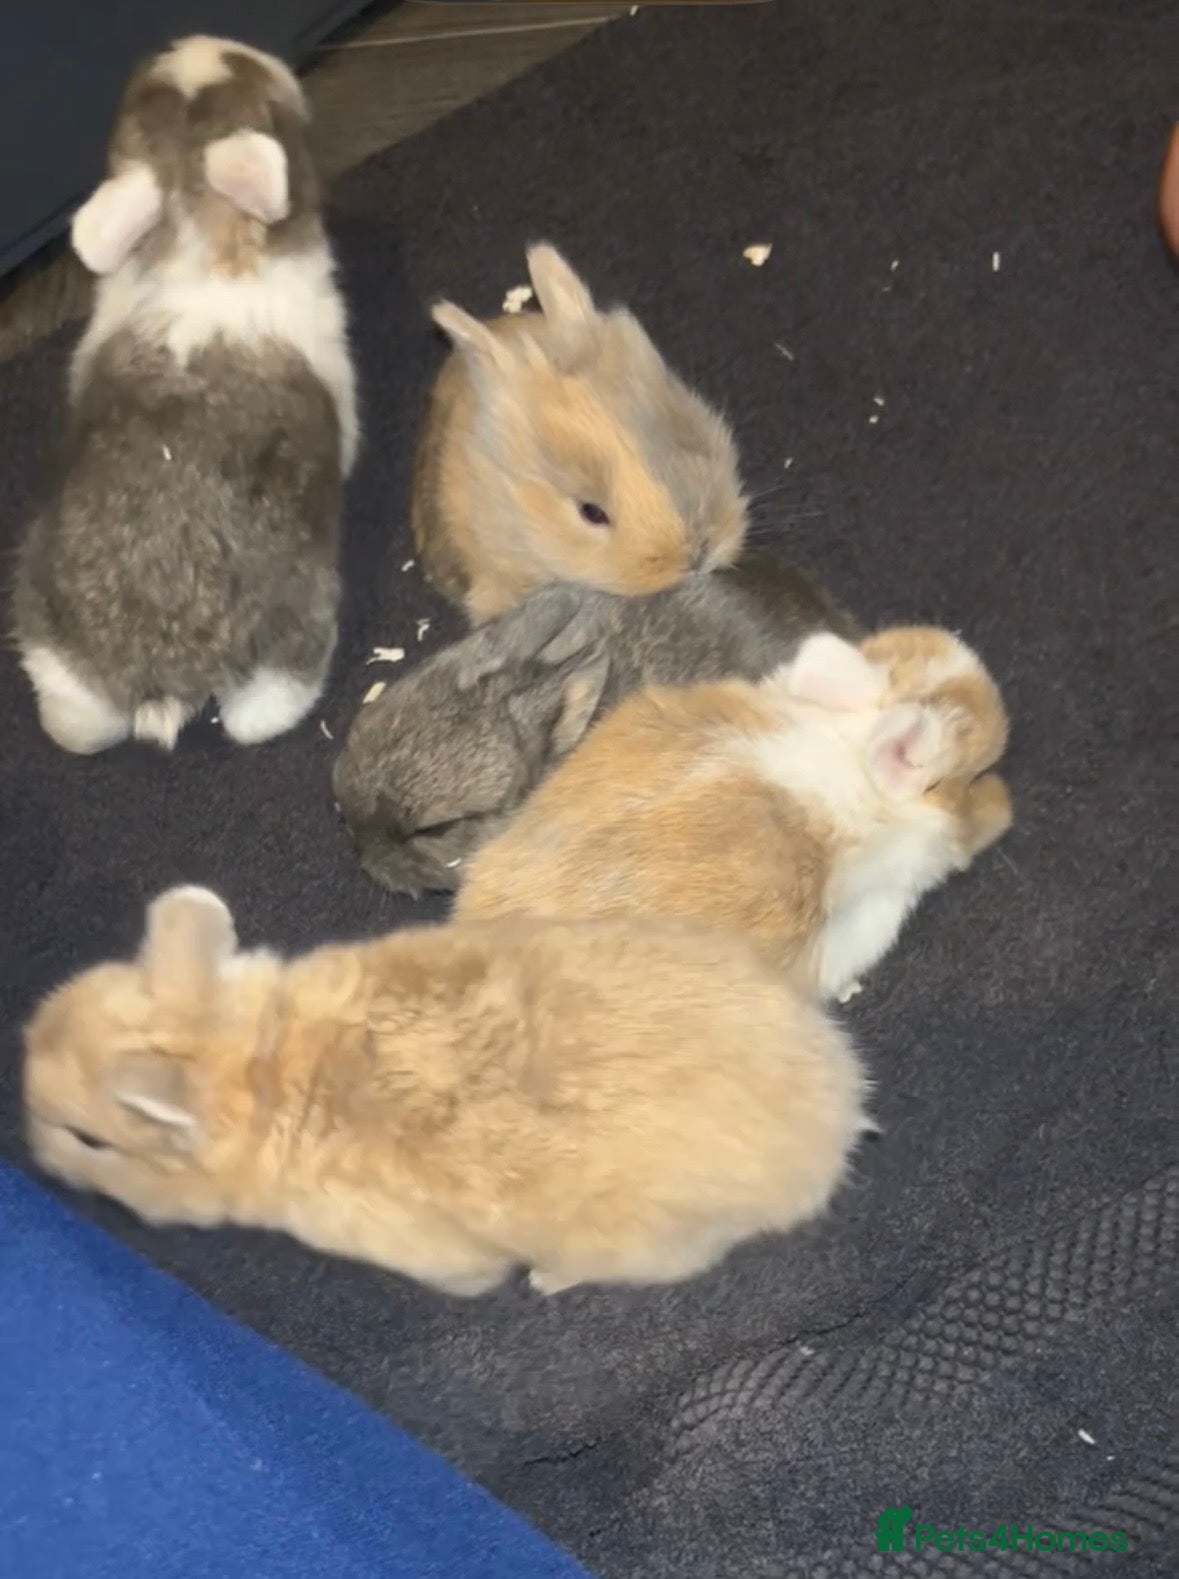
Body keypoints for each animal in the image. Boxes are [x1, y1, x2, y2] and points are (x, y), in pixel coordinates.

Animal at [12, 36, 358, 755]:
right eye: (259, 88)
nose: (192, 43)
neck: (198, 234)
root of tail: (164, 674)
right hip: (292, 629)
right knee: (262, 715)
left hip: (39, 616)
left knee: (74, 725)